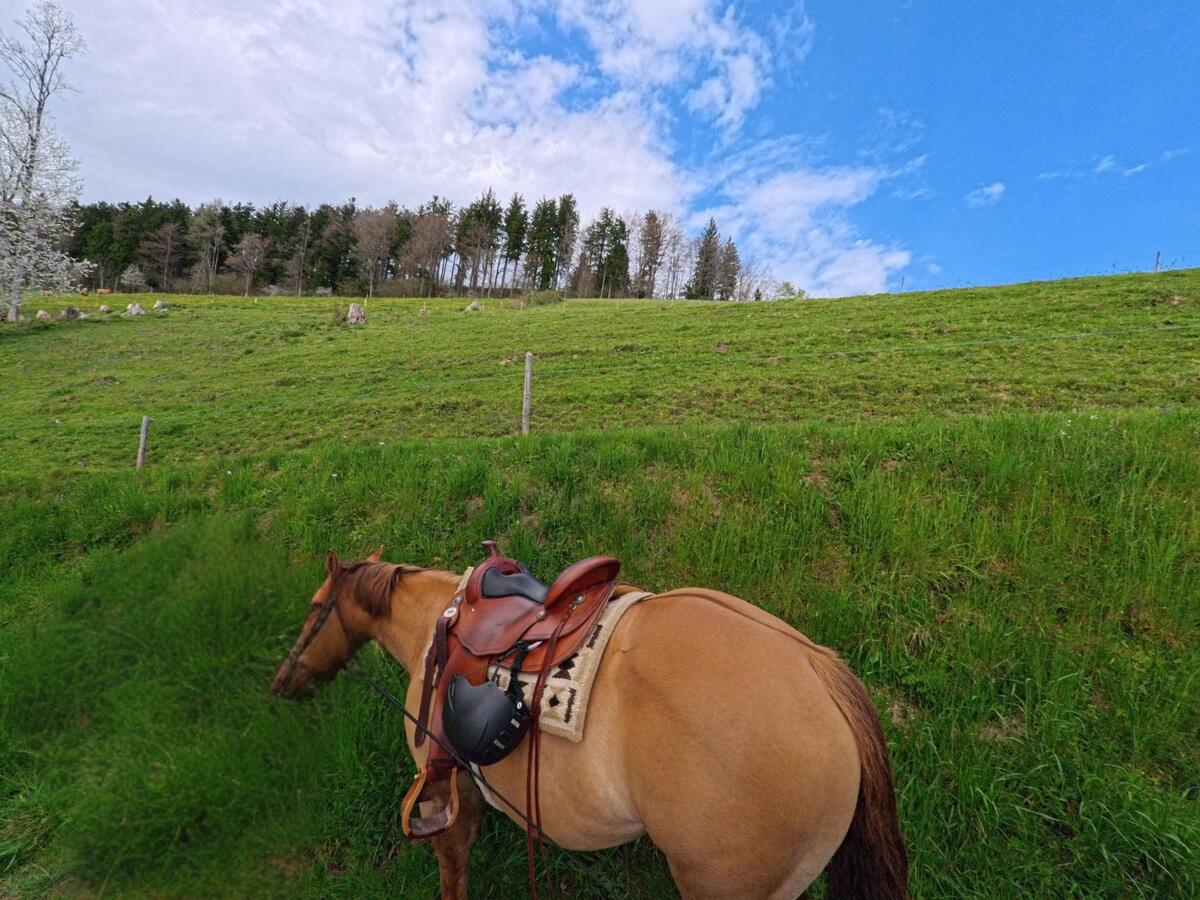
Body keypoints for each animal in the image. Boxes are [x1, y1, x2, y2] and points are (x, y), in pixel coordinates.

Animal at [271, 550, 909, 900]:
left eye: (312, 607)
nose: (282, 684)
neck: (438, 623)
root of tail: (818, 666)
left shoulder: (444, 790)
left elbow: (453, 872)